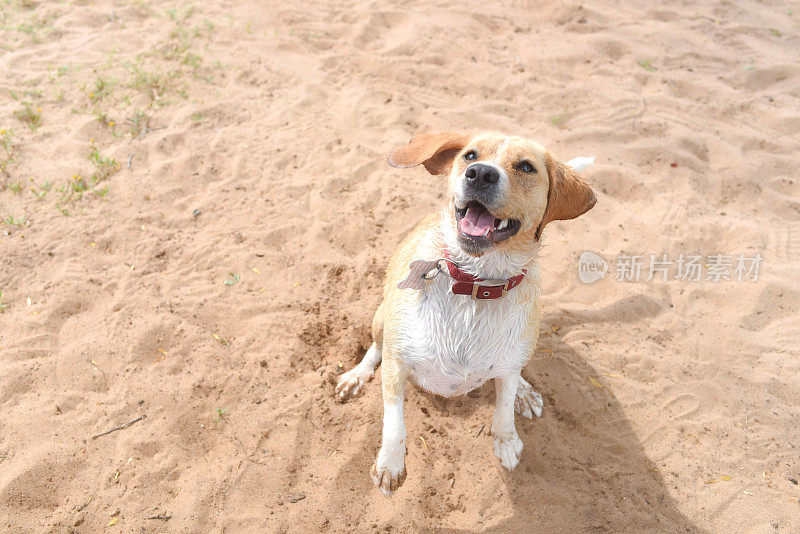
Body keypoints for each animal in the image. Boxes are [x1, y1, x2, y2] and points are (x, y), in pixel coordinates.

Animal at [332, 132, 592, 496]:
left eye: (526, 166)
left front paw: (507, 441)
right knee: (374, 349)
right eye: (470, 156)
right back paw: (356, 375)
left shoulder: (508, 364)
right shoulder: (398, 361)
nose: (481, 174)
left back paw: (524, 391)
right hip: (381, 318)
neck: (473, 285)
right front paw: (390, 463)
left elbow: (504, 407)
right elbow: (395, 422)